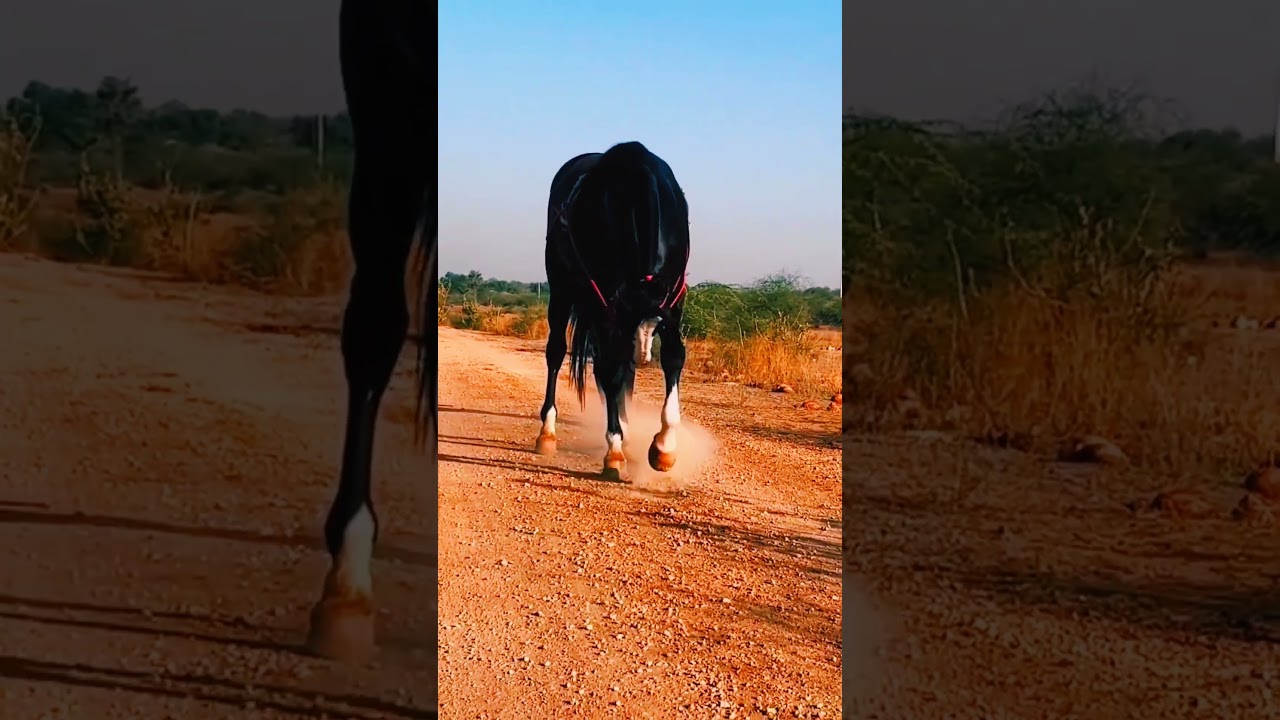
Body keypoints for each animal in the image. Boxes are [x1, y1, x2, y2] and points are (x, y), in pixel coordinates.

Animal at [533, 141, 691, 482]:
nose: (644, 354)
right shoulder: (609, 309)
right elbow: (609, 370)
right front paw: (614, 450)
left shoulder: (671, 306)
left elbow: (673, 358)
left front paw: (664, 448)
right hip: (562, 289)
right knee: (558, 352)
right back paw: (548, 432)